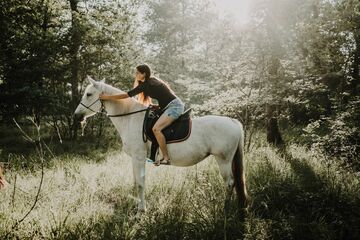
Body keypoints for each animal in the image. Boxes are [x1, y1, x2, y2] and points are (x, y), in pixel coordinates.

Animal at [73, 77, 248, 212]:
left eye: (88, 94)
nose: (76, 116)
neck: (130, 118)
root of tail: (233, 121)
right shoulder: (135, 159)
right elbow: (136, 182)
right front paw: (138, 206)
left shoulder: (138, 157)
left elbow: (140, 184)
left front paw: (141, 210)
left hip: (223, 160)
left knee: (230, 183)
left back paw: (225, 209)